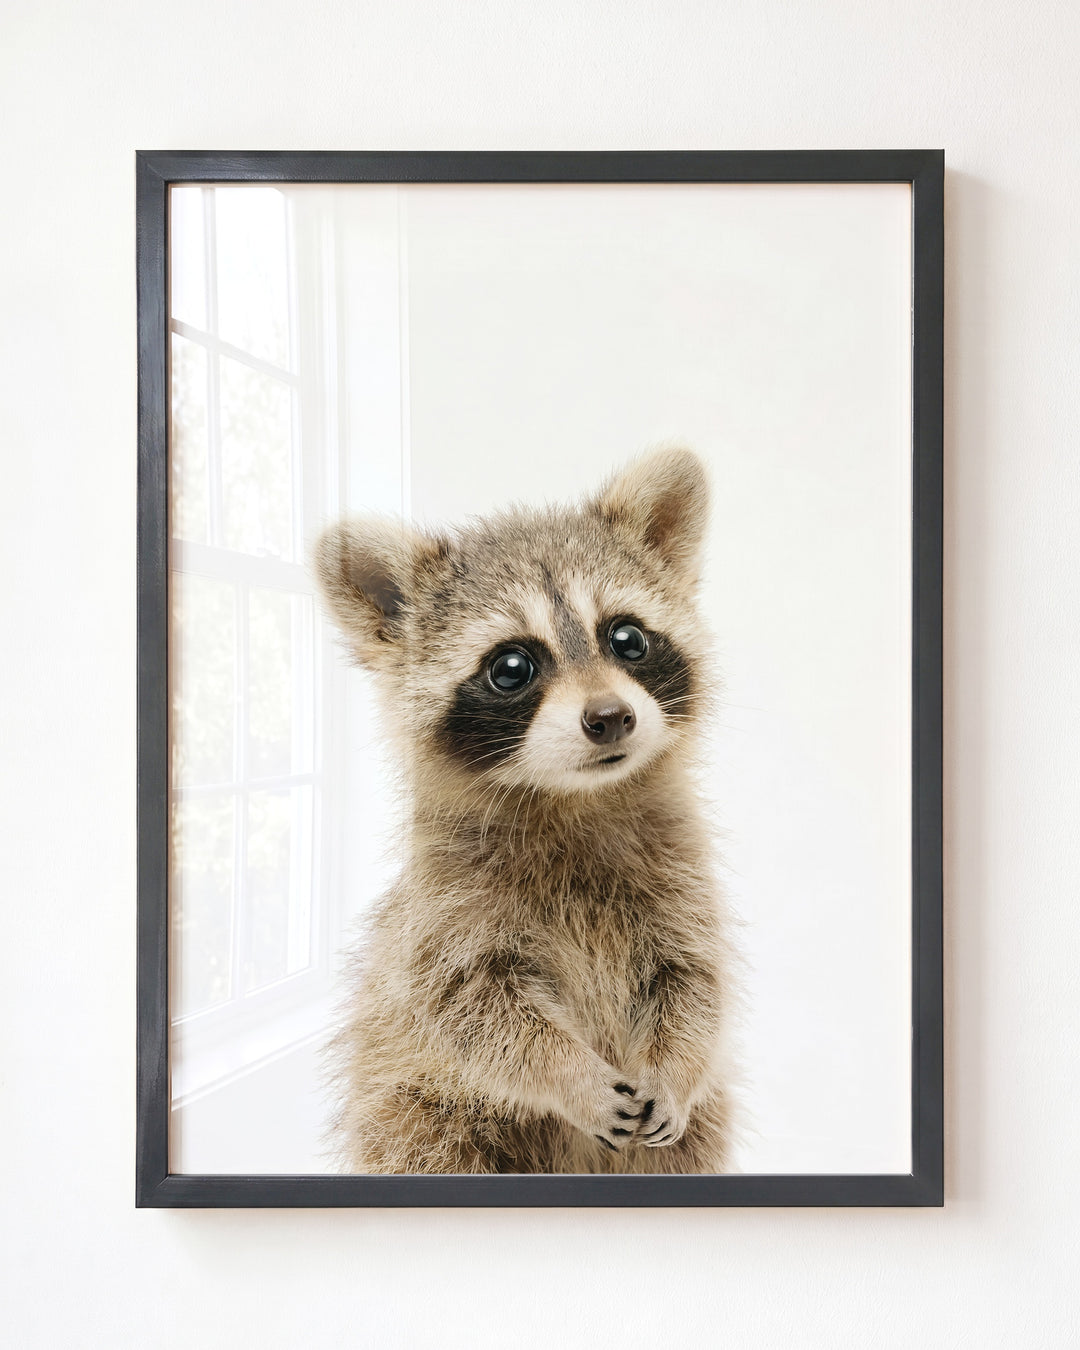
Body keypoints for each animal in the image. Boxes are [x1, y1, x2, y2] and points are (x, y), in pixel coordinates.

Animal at [314, 447, 738, 1174]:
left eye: (627, 638)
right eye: (512, 667)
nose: (610, 717)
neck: (575, 799)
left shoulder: (682, 879)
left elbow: (694, 983)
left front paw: (676, 1068)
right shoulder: (445, 913)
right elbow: (476, 1013)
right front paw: (571, 1076)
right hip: (419, 1115)